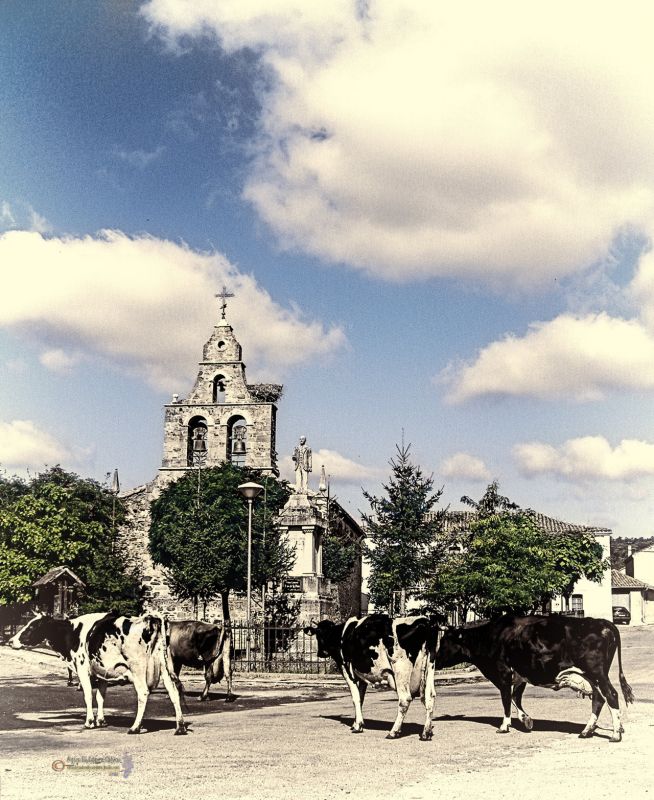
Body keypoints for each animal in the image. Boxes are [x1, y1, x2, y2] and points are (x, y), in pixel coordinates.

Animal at [8, 612, 187, 736]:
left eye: (32, 626)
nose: (10, 641)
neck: (72, 633)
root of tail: (150, 618)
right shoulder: (103, 672)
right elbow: (101, 696)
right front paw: (101, 720)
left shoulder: (82, 668)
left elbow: (88, 695)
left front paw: (89, 722)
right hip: (165, 668)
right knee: (174, 693)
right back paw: (180, 727)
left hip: (138, 669)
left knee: (143, 693)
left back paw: (135, 727)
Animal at [304, 616, 438, 740]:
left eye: (319, 634)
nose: (320, 653)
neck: (340, 635)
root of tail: (424, 621)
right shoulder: (362, 676)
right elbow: (361, 698)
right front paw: (356, 723)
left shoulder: (346, 669)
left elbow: (355, 698)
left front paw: (358, 726)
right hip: (429, 668)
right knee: (430, 696)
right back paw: (426, 732)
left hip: (401, 669)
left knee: (405, 699)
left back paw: (393, 732)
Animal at [436, 612, 636, 744]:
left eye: (445, 641)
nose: (434, 660)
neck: (491, 637)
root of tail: (602, 623)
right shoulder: (520, 676)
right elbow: (515, 698)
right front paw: (526, 720)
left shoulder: (503, 673)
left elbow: (506, 699)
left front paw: (504, 726)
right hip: (591, 676)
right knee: (598, 699)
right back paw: (586, 731)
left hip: (597, 673)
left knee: (610, 696)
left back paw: (615, 734)